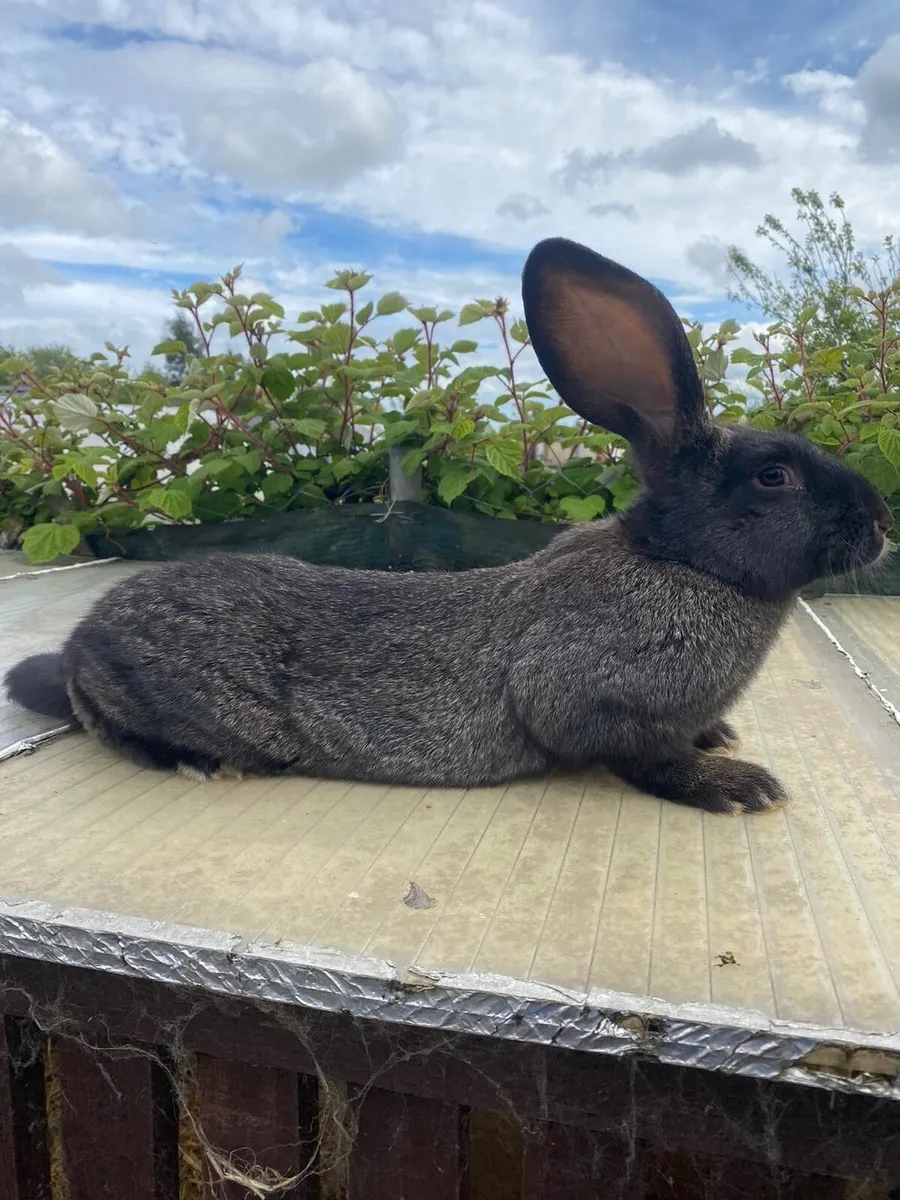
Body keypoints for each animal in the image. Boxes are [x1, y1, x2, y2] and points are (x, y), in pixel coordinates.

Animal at [4, 237, 891, 814]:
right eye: (775, 476)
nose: (882, 522)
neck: (682, 563)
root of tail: (83, 640)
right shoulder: (589, 699)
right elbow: (640, 758)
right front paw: (737, 787)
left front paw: (720, 738)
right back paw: (201, 762)